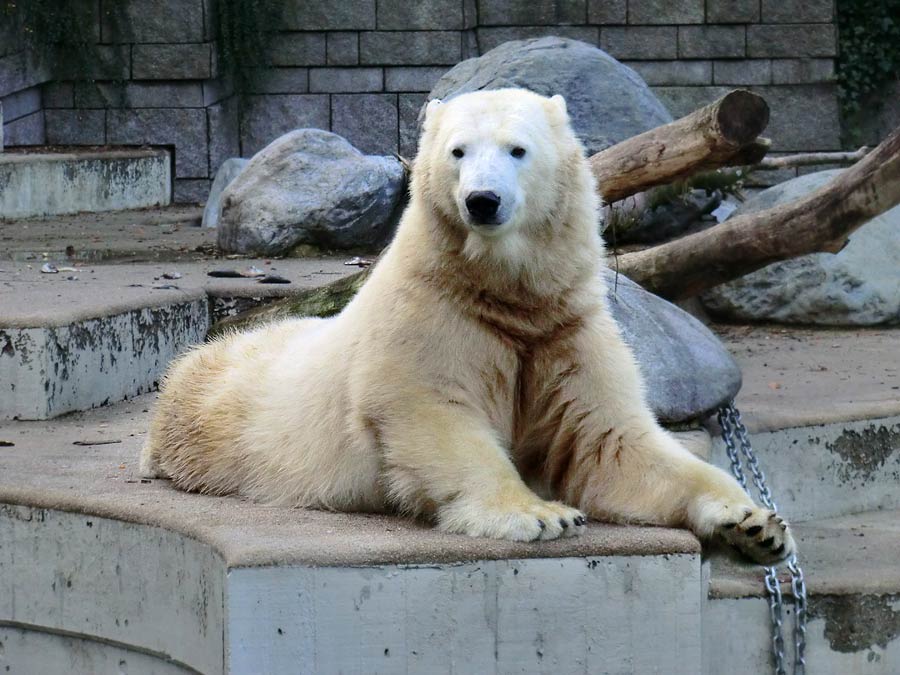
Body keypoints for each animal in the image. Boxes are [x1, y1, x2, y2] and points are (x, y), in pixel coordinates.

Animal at [142, 90, 796, 564]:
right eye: (458, 151)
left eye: (517, 150)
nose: (482, 200)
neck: (505, 296)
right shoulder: (432, 318)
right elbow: (435, 414)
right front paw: (541, 514)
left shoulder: (565, 331)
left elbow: (609, 440)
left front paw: (754, 523)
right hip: (226, 424)